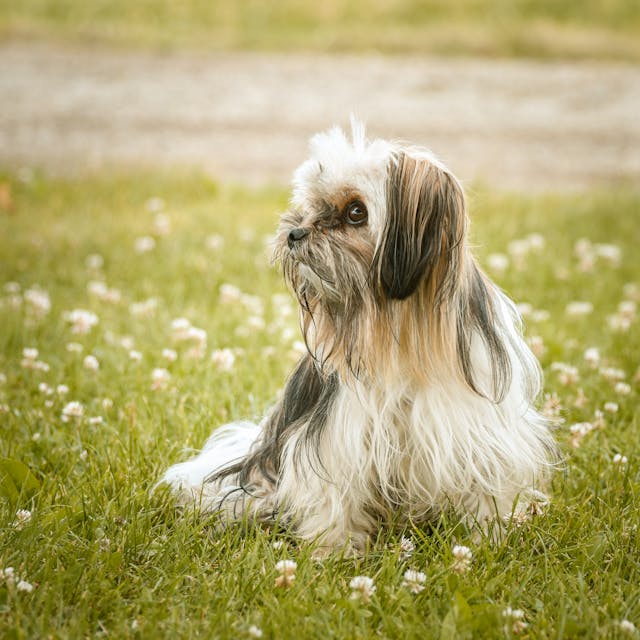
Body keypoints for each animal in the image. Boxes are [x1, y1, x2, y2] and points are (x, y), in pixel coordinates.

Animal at [161, 122, 556, 552]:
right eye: (312, 204)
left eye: (356, 212)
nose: (295, 232)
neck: (399, 323)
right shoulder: (336, 435)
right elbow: (335, 493)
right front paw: (333, 551)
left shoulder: (478, 424)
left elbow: (487, 483)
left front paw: (492, 535)